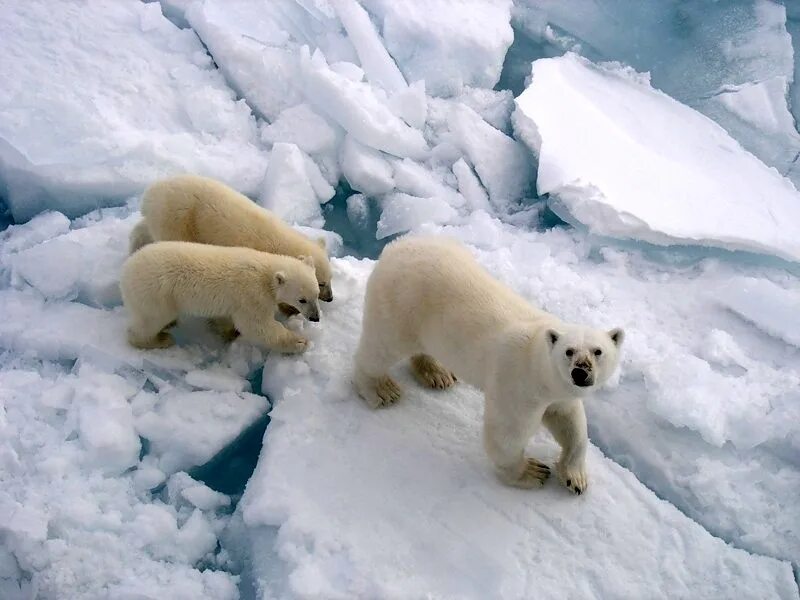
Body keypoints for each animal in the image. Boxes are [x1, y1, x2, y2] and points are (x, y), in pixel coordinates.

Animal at [120, 239, 320, 352]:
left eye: (317, 294)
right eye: (302, 300)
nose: (315, 317)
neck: (265, 271)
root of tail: (126, 270)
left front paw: (227, 331)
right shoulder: (252, 296)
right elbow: (257, 326)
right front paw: (300, 342)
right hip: (156, 294)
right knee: (150, 320)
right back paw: (160, 339)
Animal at [129, 176, 334, 302]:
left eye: (330, 278)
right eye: (321, 283)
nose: (330, 298)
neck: (279, 240)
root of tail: (149, 194)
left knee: (143, 229)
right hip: (178, 218)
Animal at [352, 237, 624, 494]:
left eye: (598, 351)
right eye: (569, 351)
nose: (580, 372)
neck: (536, 358)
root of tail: (395, 246)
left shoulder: (560, 393)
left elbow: (571, 424)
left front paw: (575, 477)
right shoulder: (518, 384)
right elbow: (507, 434)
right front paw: (531, 471)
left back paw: (437, 373)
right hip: (401, 305)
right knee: (382, 347)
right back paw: (381, 389)